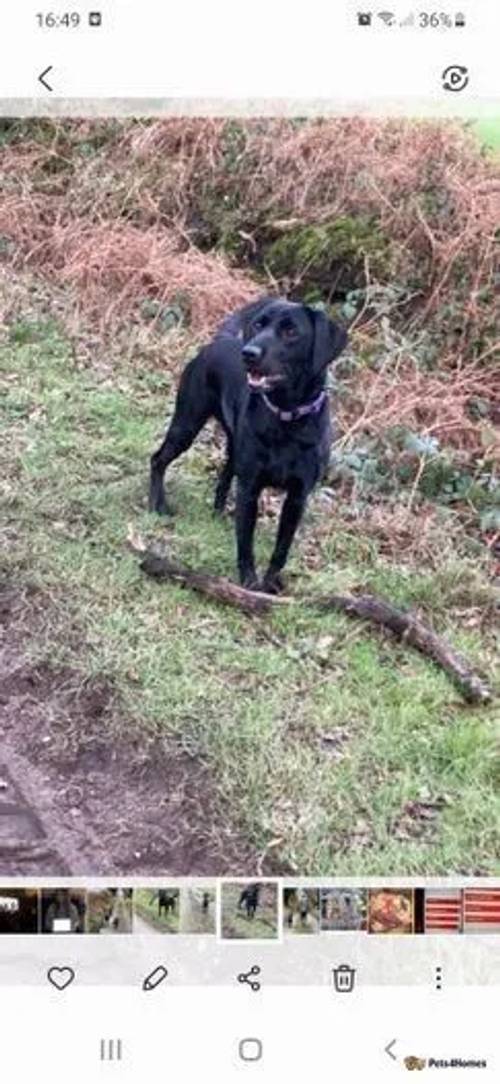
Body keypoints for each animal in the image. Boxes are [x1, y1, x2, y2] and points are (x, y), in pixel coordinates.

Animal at [147, 297, 347, 594]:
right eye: (258, 324)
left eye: (291, 332)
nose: (249, 353)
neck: (286, 419)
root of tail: (218, 341)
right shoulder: (250, 488)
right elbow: (245, 542)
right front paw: (249, 583)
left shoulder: (297, 498)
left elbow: (281, 549)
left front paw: (271, 583)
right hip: (187, 424)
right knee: (158, 459)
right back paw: (157, 504)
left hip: (232, 444)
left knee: (224, 475)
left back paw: (217, 514)